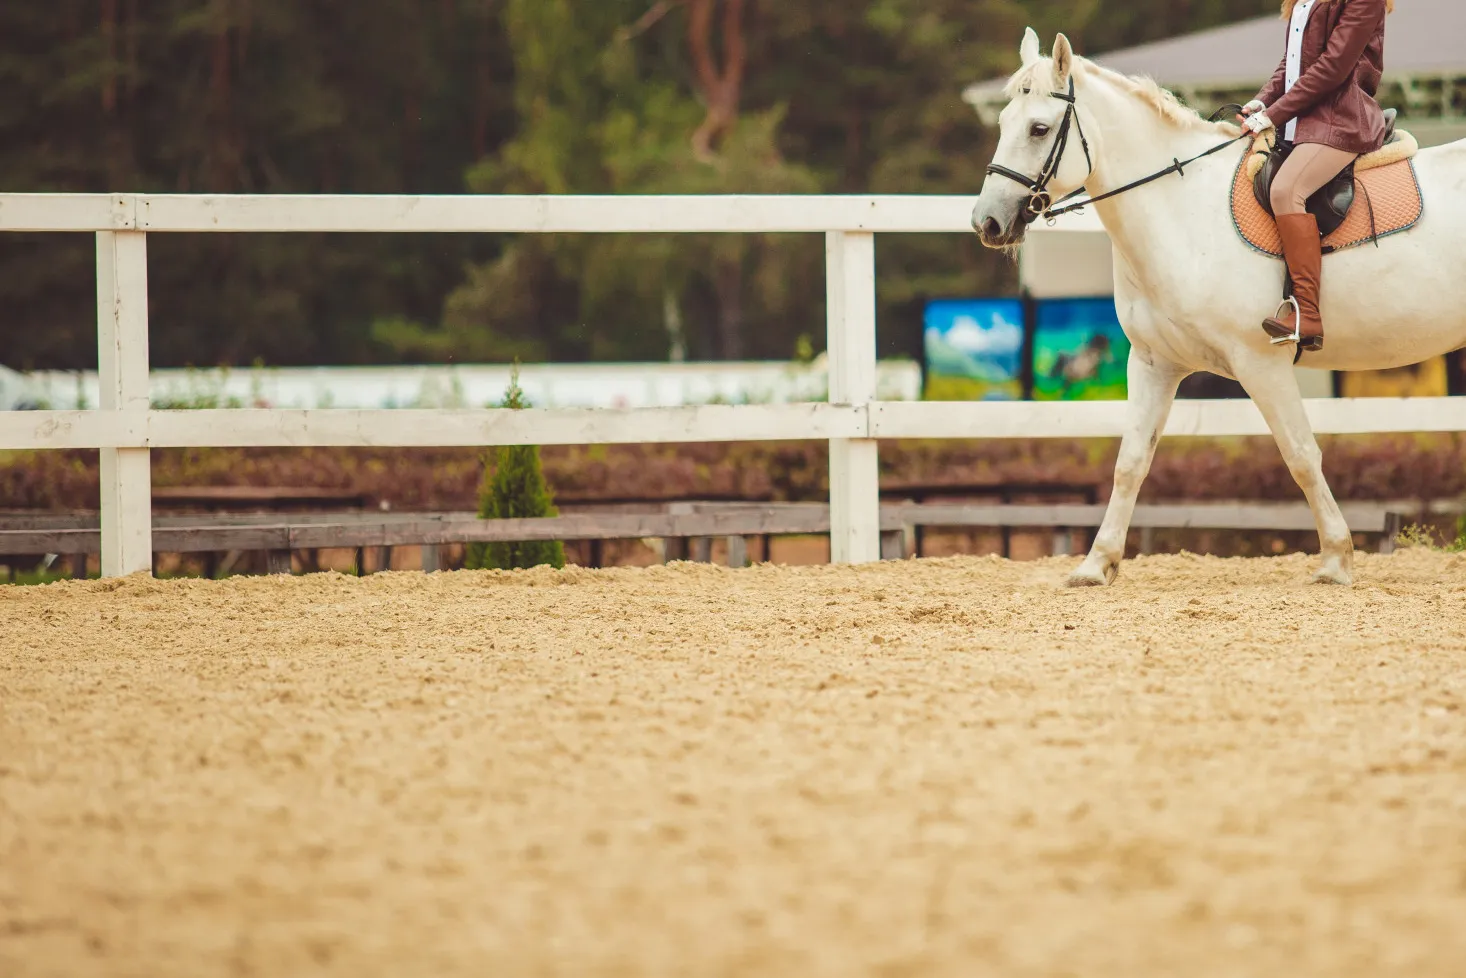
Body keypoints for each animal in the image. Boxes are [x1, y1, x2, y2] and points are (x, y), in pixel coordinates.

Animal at [971, 28, 1466, 588]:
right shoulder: (1153, 363)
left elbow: (1301, 454)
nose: (988, 222)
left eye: (1038, 128)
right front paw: (1097, 565)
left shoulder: (1261, 362)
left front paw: (1337, 559)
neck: (1181, 210)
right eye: (1003, 124)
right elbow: (1130, 461)